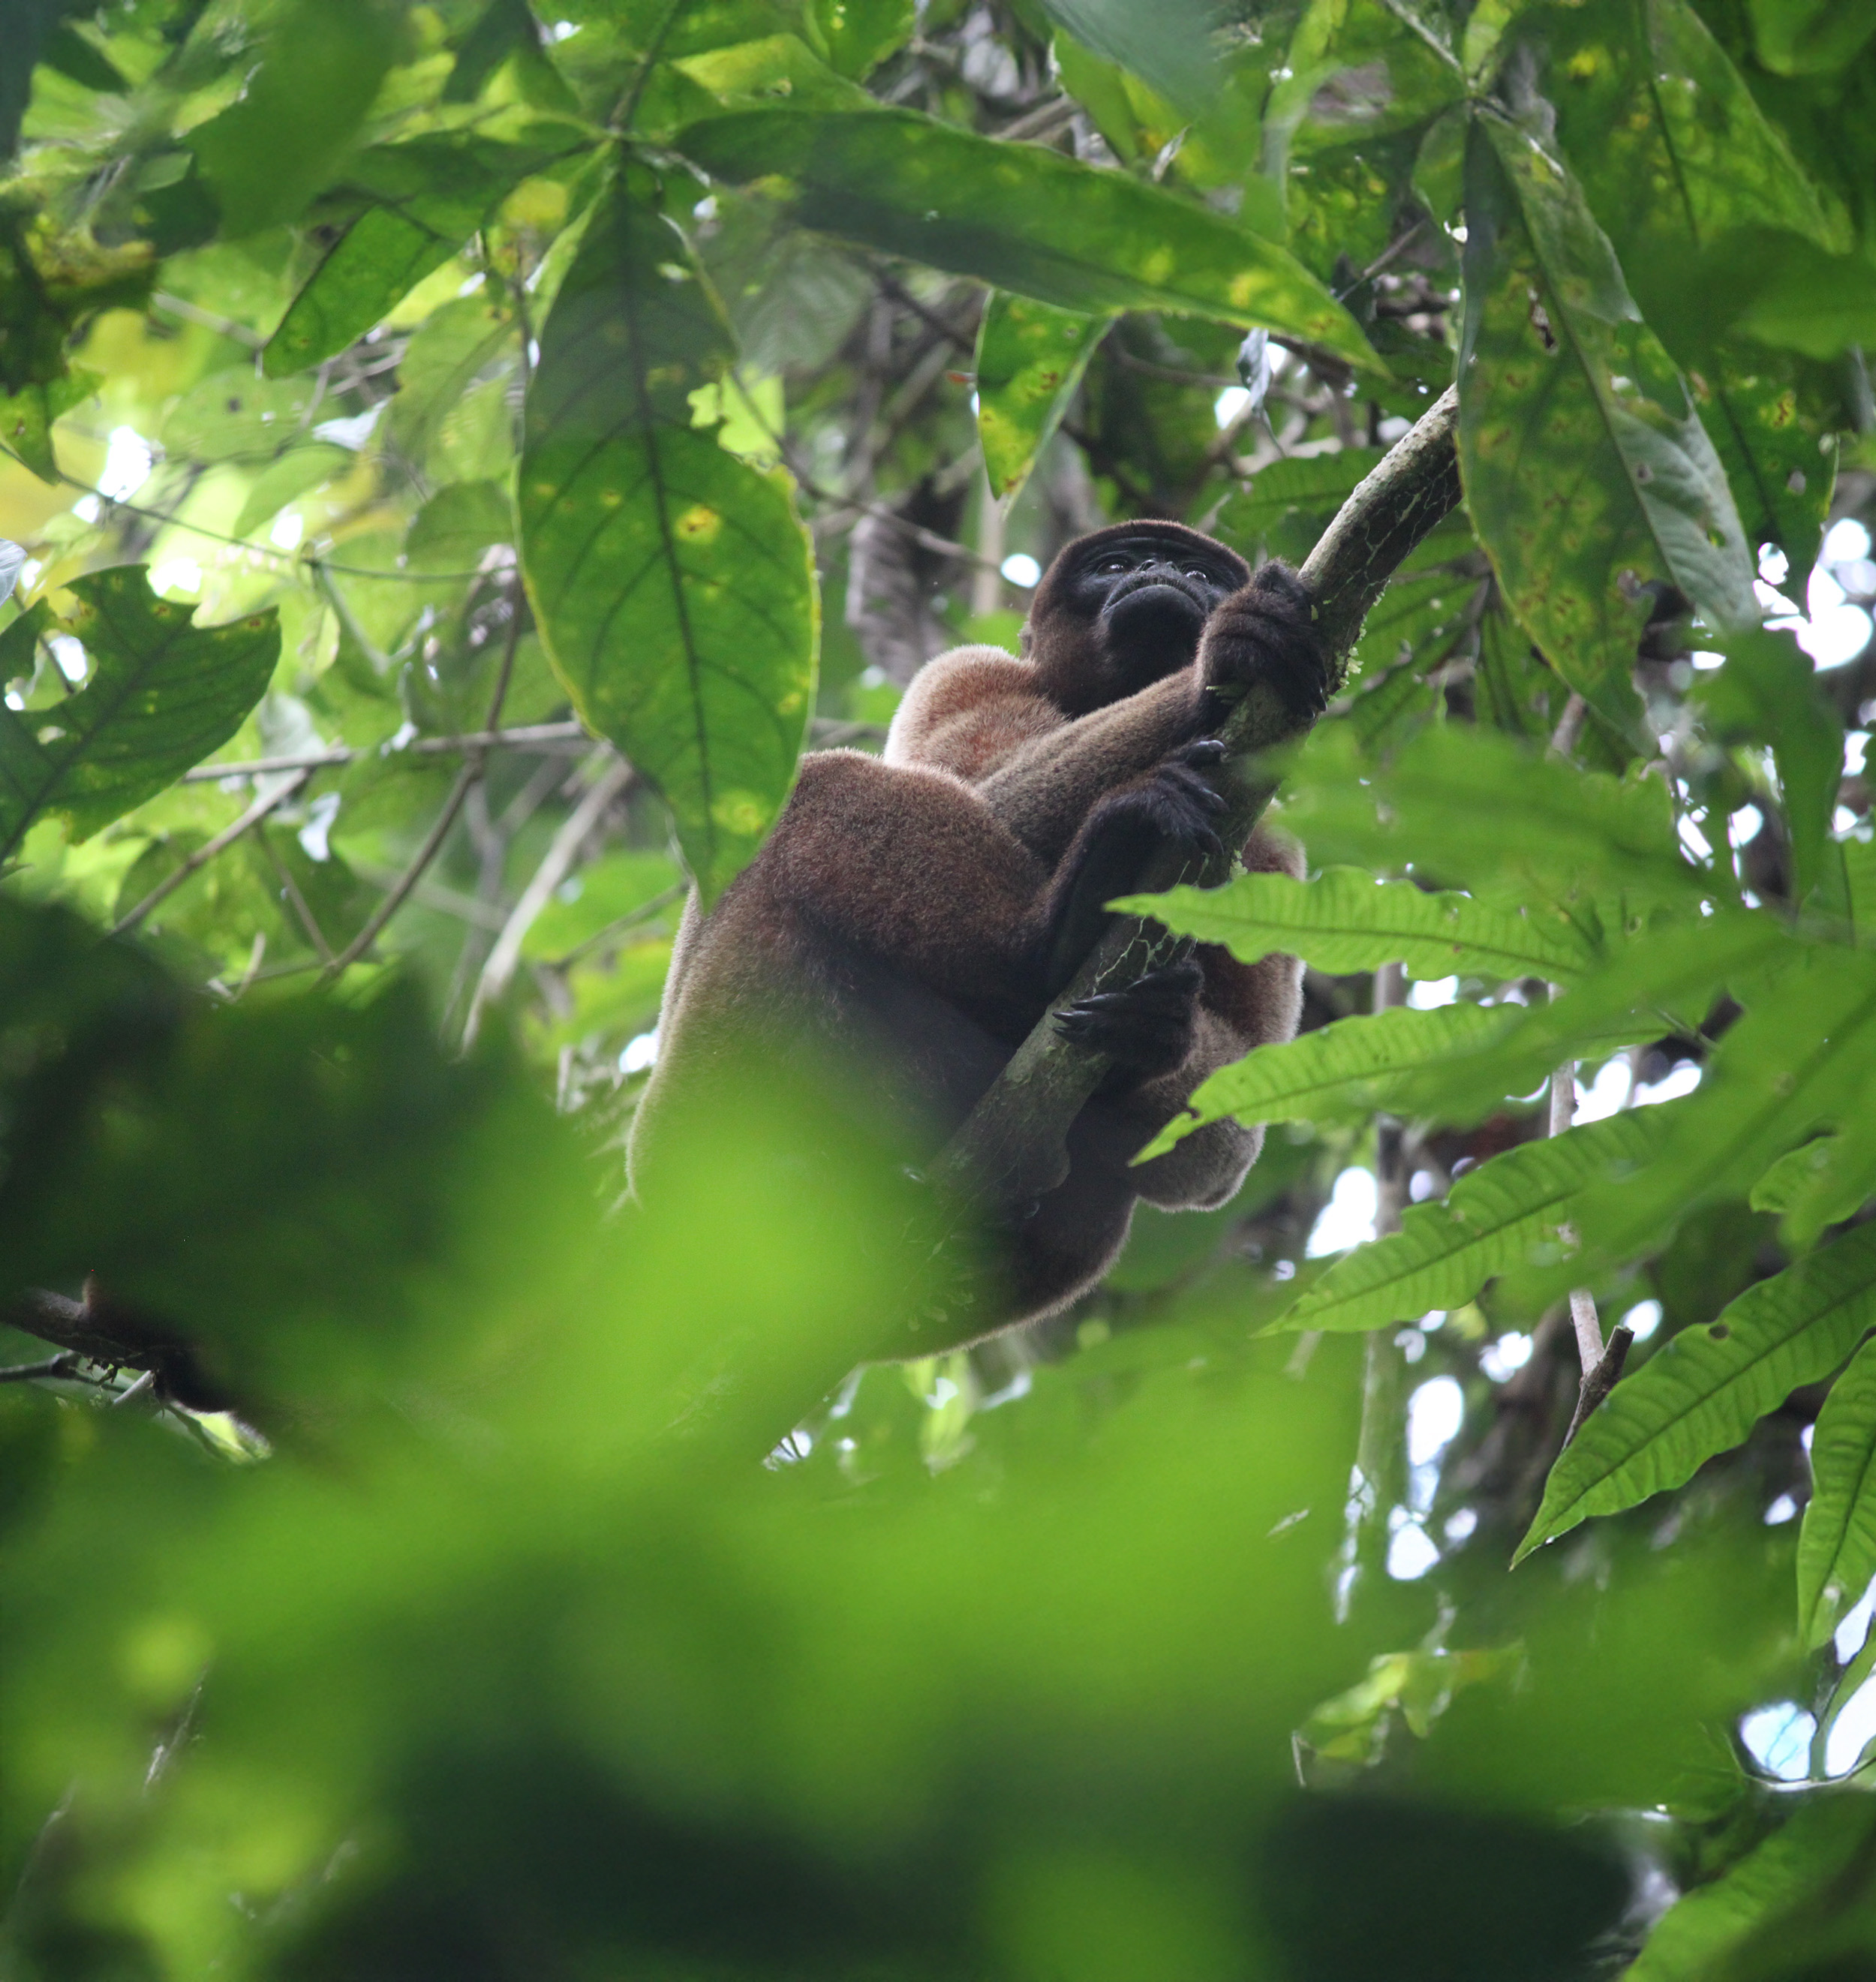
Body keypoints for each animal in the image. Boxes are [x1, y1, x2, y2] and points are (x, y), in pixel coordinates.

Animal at [627, 519, 1327, 1344]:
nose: (1161, 569)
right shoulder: (965, 671)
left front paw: (1152, 1033)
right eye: (1117, 563)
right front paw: (1223, 657)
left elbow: (1227, 1138)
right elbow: (989, 792)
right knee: (814, 795)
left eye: (1198, 571)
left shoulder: (1278, 846)